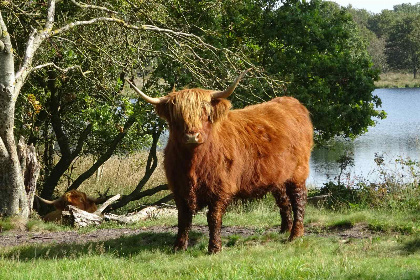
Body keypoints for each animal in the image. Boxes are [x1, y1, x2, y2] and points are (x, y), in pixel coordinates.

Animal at [126, 70, 314, 254]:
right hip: (278, 175)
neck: (192, 163)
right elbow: (183, 218)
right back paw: (284, 229)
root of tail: (292, 102)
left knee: (299, 199)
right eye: (177, 117)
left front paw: (214, 248)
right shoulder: (179, 188)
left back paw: (295, 235)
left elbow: (213, 217)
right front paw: (178, 247)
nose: (192, 136)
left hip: (298, 172)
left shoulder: (220, 188)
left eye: (205, 114)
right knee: (283, 199)